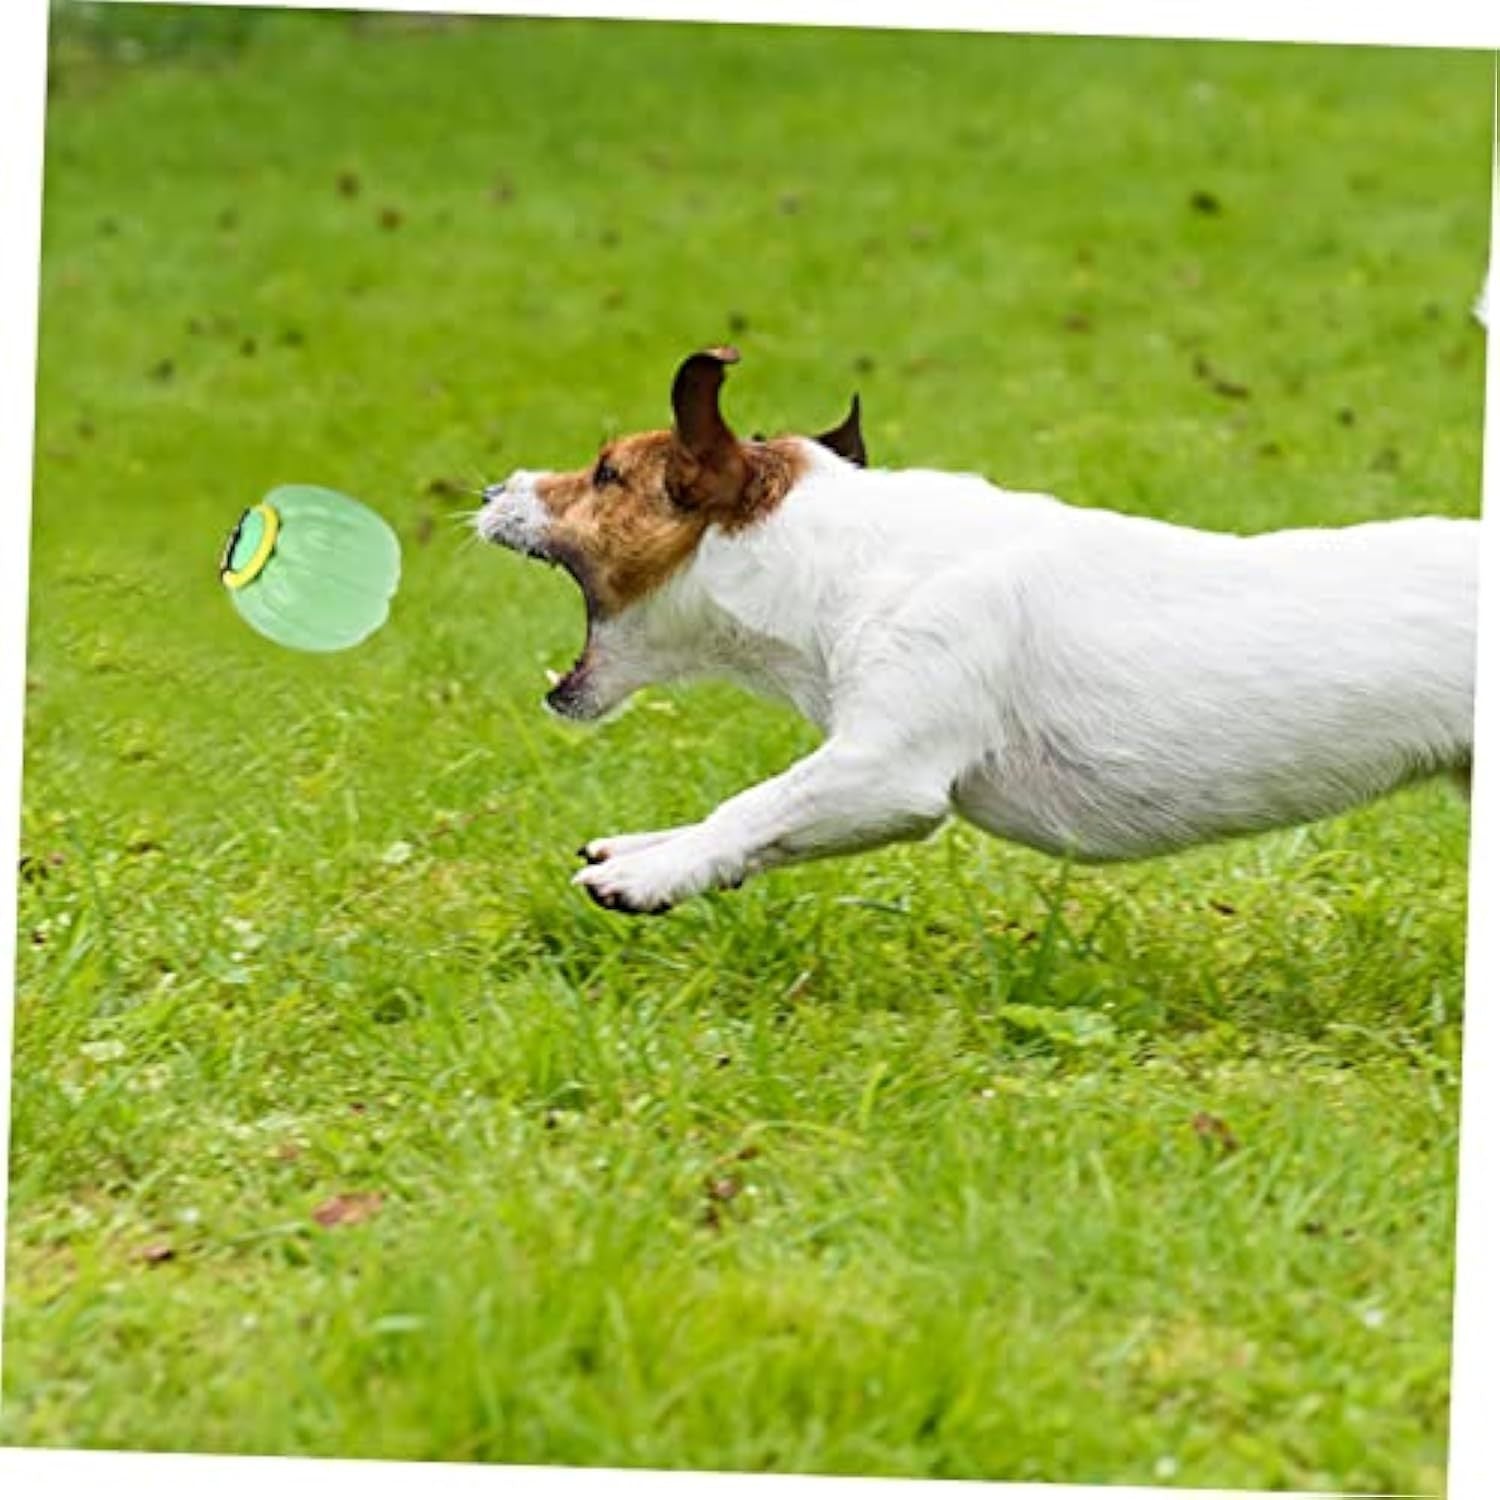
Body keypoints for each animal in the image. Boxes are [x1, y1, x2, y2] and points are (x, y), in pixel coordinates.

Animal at [480, 349, 1476, 912]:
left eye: (605, 474)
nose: (491, 487)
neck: (842, 560)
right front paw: (652, 846)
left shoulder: (886, 768)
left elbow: (755, 804)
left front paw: (652, 873)